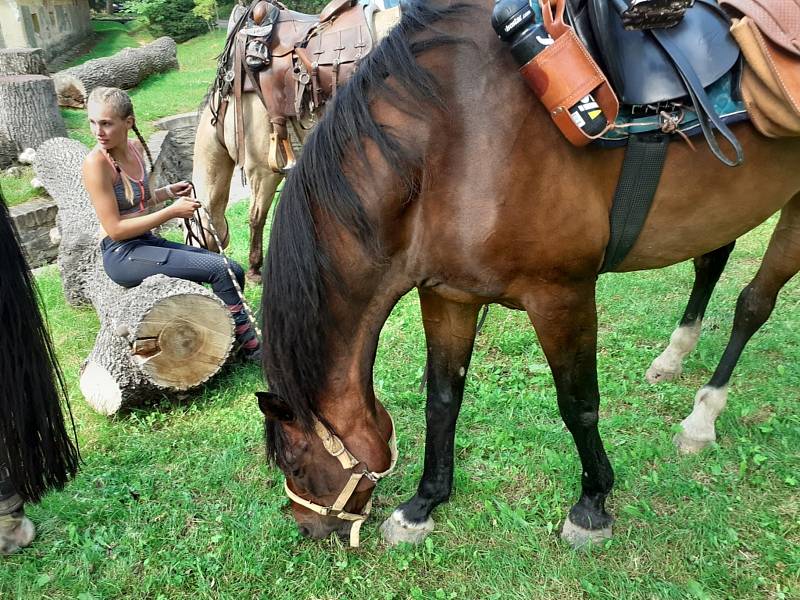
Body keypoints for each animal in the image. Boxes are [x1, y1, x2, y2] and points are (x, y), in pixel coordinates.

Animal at [256, 0, 800, 548]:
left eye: (297, 465)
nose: (309, 527)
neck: (453, 138)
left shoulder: (561, 296)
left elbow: (579, 404)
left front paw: (592, 504)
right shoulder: (449, 297)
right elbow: (442, 400)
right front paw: (423, 503)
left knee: (753, 304)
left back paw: (703, 415)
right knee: (711, 262)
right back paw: (673, 356)